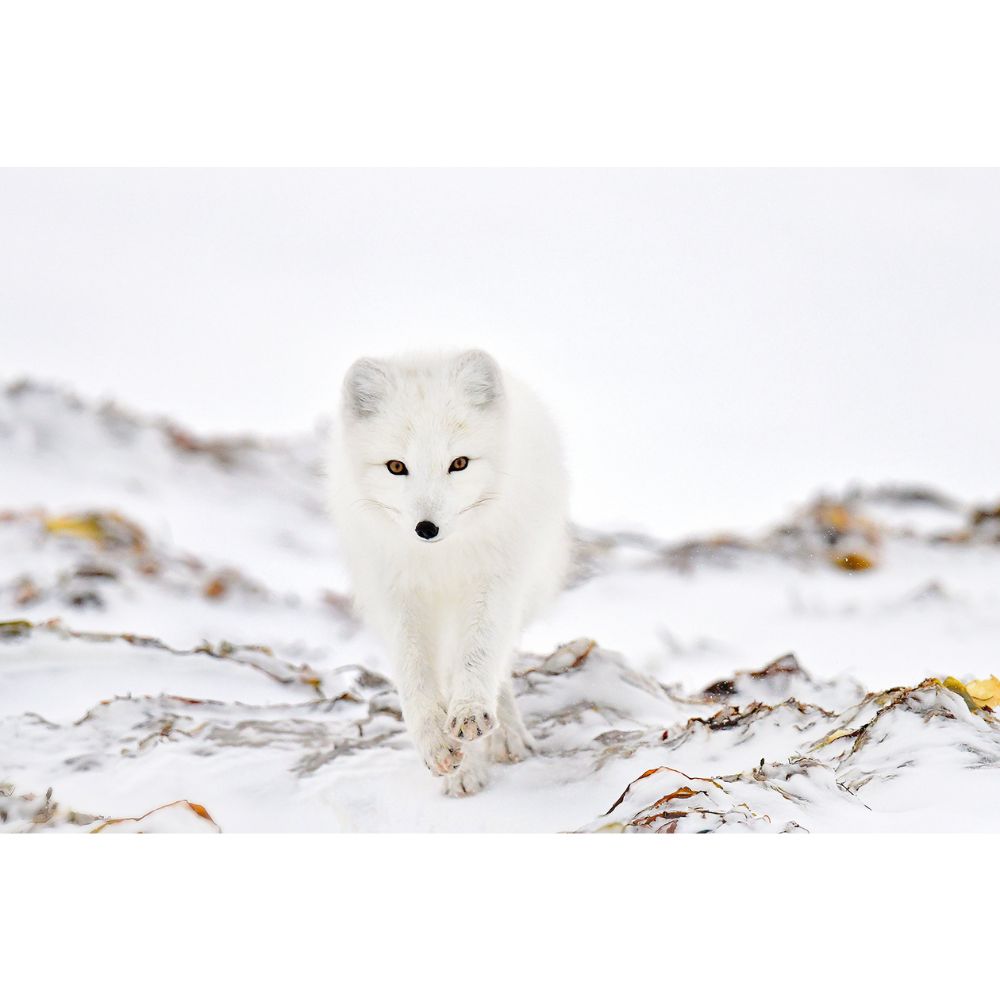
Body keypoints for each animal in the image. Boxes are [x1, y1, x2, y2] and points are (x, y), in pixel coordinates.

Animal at [326, 349, 571, 796]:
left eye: (459, 463)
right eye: (396, 466)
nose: (426, 529)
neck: (440, 562)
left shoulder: (494, 582)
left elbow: (479, 656)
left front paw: (470, 712)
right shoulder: (395, 597)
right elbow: (414, 678)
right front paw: (437, 745)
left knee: (496, 664)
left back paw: (504, 735)